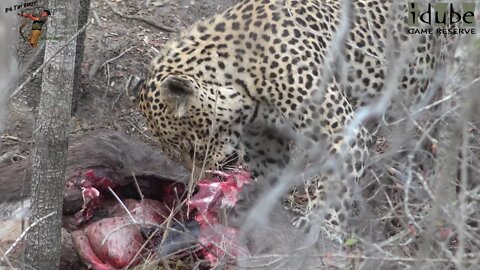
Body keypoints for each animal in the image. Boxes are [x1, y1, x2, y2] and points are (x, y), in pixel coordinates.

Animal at [127, 0, 446, 240]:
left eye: (193, 149)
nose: (199, 182)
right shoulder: (263, 139)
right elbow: (270, 174)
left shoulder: (340, 126)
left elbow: (336, 182)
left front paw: (322, 226)